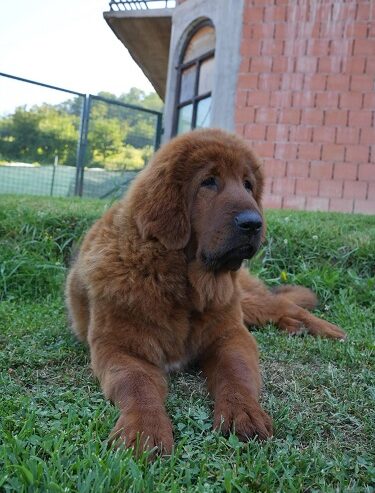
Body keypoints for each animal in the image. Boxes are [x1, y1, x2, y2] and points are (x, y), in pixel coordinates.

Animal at [64, 128, 346, 454]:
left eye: (248, 185)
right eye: (209, 182)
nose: (254, 223)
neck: (181, 286)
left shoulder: (231, 334)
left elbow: (235, 372)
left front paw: (243, 412)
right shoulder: (118, 348)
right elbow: (136, 383)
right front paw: (144, 429)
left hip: (246, 303)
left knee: (286, 305)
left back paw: (327, 329)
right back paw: (294, 327)